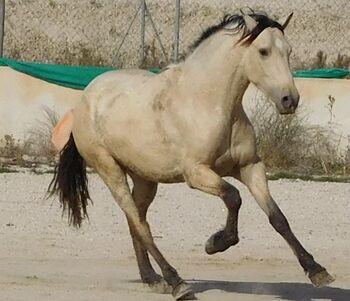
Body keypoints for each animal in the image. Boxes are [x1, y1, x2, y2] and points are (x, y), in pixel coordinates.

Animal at [48, 10, 334, 298]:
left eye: (288, 51)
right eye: (263, 51)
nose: (290, 100)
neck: (210, 103)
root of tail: (86, 97)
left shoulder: (250, 167)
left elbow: (277, 217)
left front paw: (317, 271)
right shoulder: (196, 174)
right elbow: (233, 197)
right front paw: (216, 243)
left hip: (145, 178)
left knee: (136, 220)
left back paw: (152, 278)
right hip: (109, 169)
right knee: (141, 224)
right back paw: (177, 282)